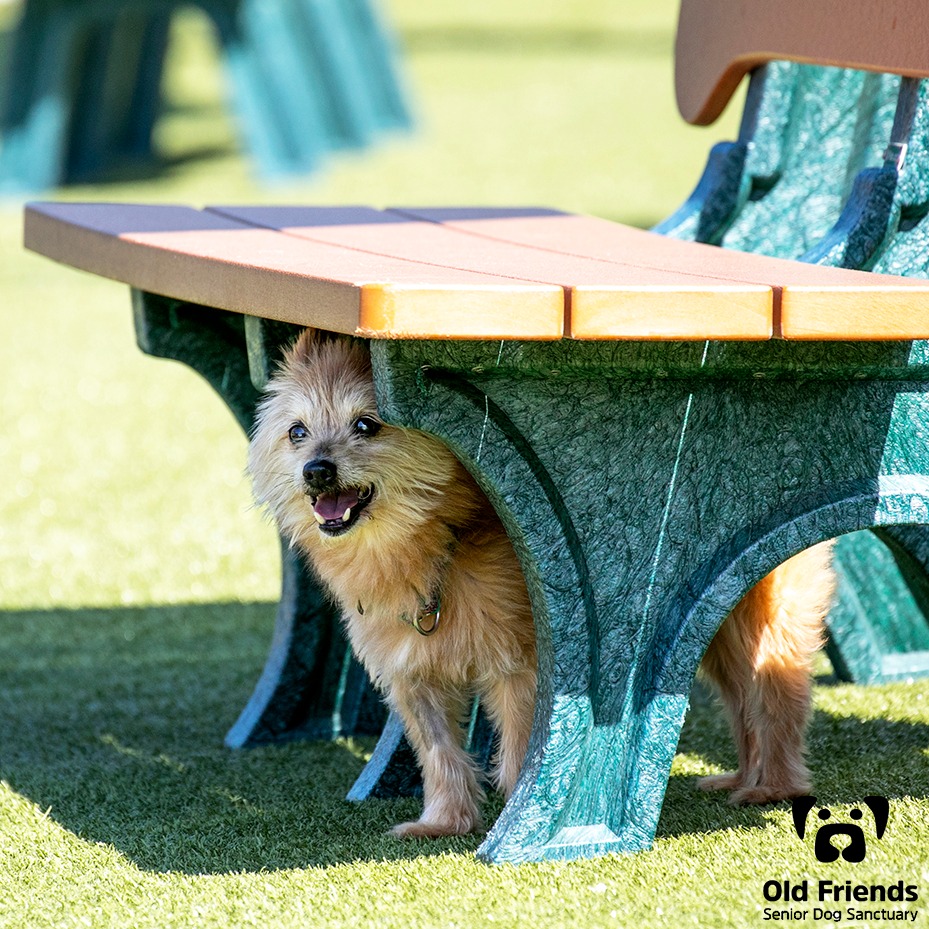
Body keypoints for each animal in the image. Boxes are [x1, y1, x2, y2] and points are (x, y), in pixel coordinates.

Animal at [246, 332, 832, 832]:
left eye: (367, 425)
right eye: (297, 432)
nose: (317, 470)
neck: (433, 546)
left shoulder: (519, 670)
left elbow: (521, 752)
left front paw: (516, 819)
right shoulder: (413, 678)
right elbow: (439, 752)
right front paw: (444, 822)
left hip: (764, 616)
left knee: (778, 694)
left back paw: (773, 787)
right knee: (740, 699)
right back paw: (743, 776)